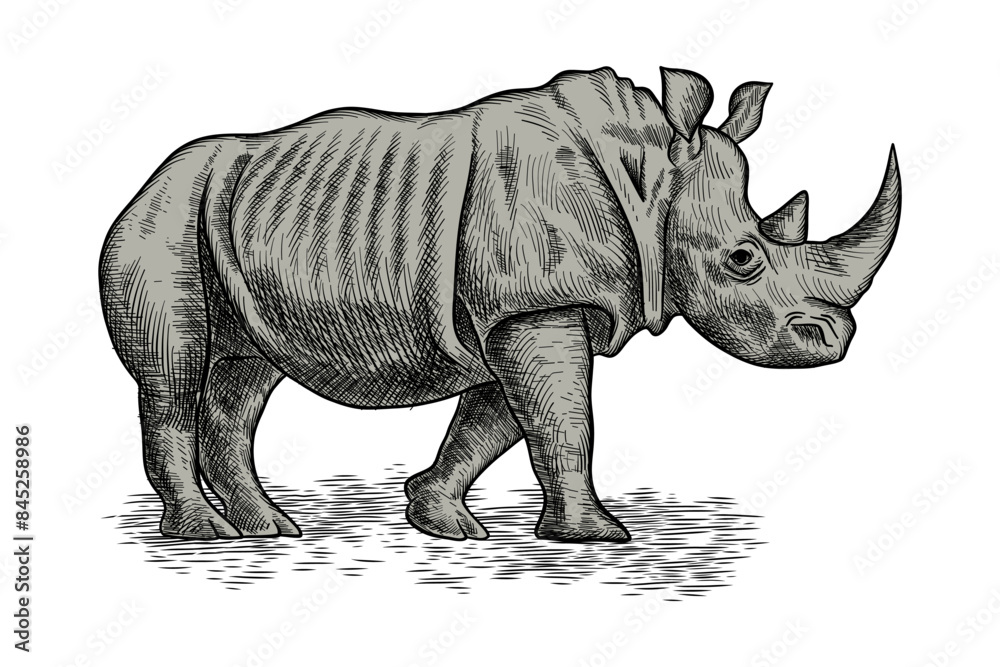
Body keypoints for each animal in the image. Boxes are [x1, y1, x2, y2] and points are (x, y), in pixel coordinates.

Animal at [99, 67, 900, 542]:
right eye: (742, 259)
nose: (833, 338)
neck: (651, 183)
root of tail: (144, 181)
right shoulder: (534, 305)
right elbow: (564, 419)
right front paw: (597, 537)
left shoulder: (523, 311)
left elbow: (497, 419)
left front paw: (440, 519)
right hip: (164, 216)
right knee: (174, 371)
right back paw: (205, 534)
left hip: (227, 216)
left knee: (246, 374)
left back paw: (271, 530)